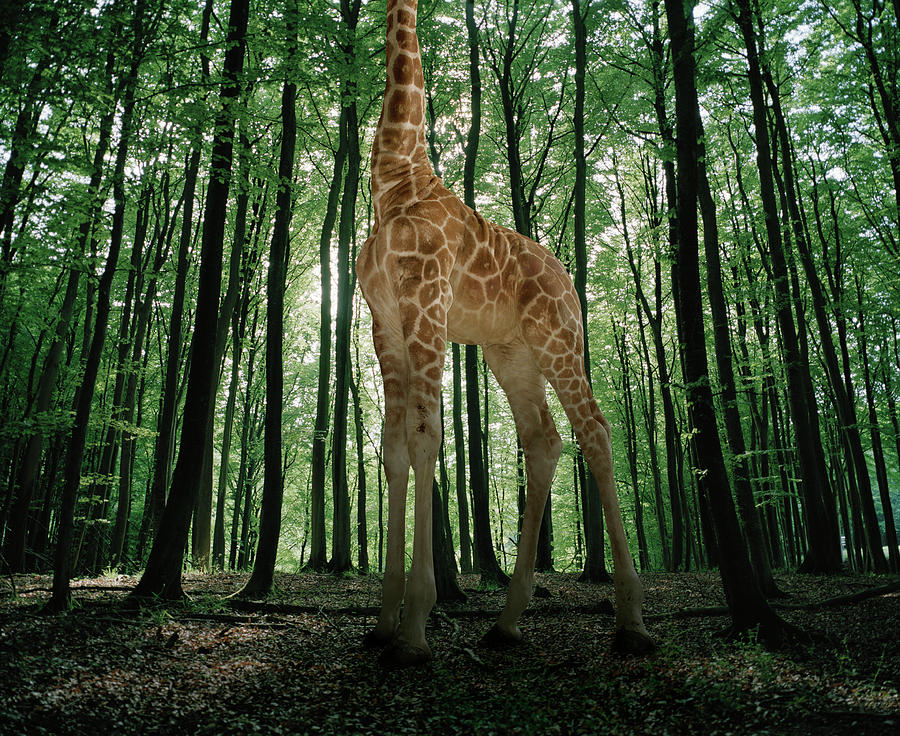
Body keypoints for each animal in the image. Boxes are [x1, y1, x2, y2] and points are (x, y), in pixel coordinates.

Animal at [356, 0, 654, 667]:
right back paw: (508, 621)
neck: (394, 178)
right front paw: (384, 623)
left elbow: (426, 437)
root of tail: (570, 279)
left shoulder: (426, 307)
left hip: (559, 337)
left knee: (596, 430)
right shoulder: (383, 321)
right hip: (509, 350)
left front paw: (415, 629)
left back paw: (632, 623)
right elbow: (392, 449)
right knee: (543, 438)